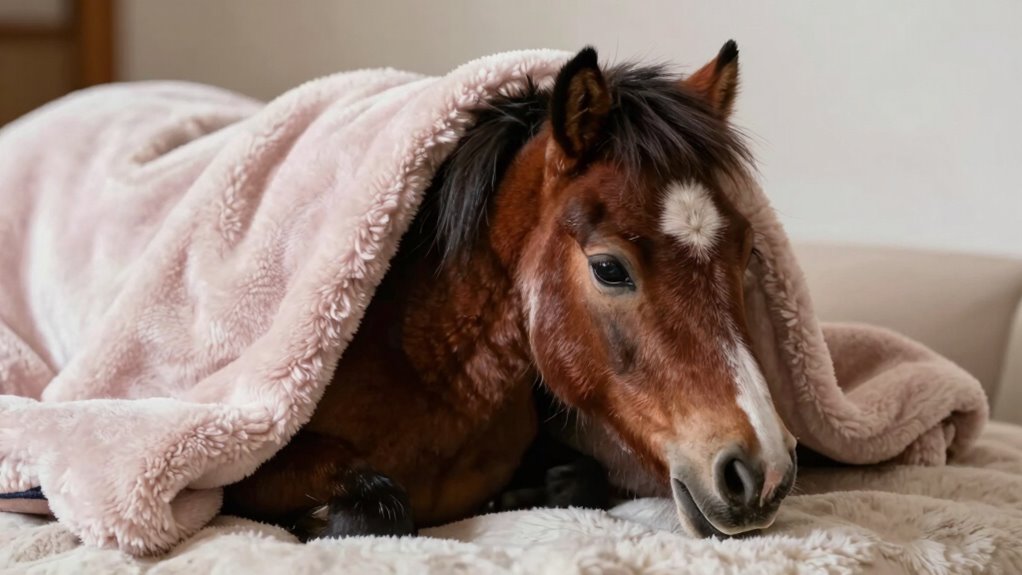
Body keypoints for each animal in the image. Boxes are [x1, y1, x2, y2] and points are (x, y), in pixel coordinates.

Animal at [223, 41, 798, 540]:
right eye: (609, 269)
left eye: (749, 253)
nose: (764, 471)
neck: (425, 367)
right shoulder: (257, 467)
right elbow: (374, 508)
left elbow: (582, 480)